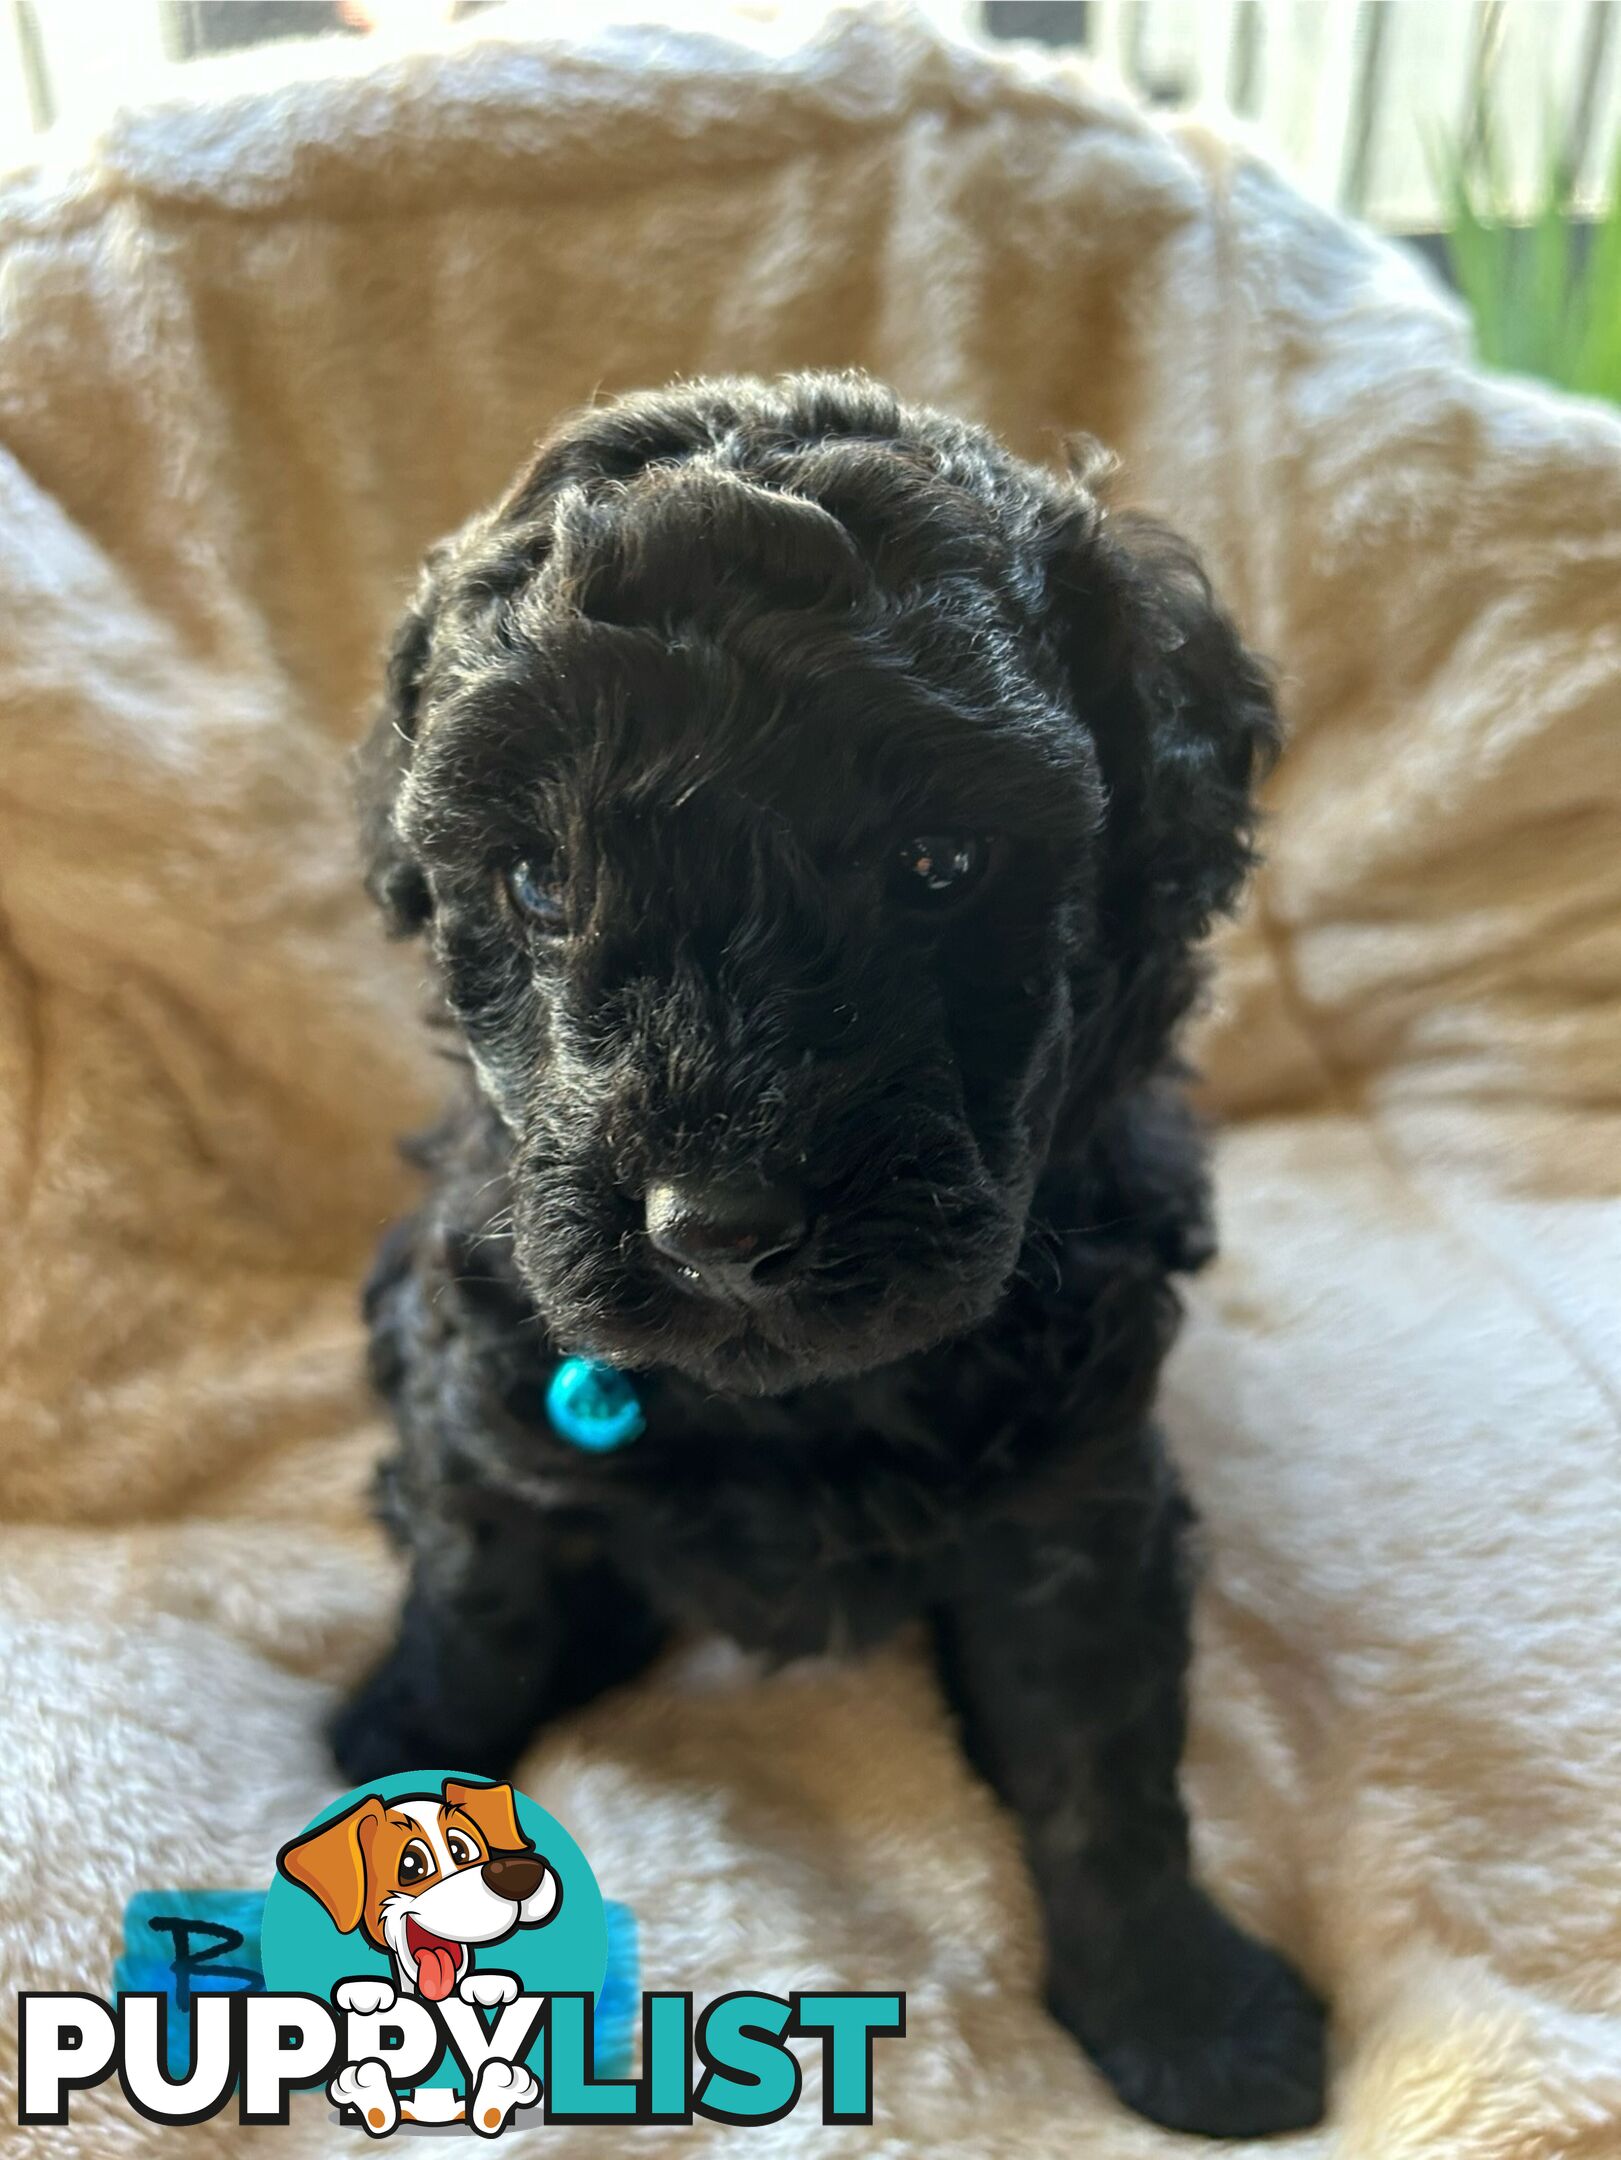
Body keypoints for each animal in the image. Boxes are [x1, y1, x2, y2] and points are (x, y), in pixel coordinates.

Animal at [343, 375, 1331, 2142]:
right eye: (536, 880)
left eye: (942, 865)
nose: (717, 1227)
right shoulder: (490, 1401)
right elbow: (476, 1605)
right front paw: (398, 1747)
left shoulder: (1080, 1494)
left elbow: (1101, 1761)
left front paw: (1182, 2009)